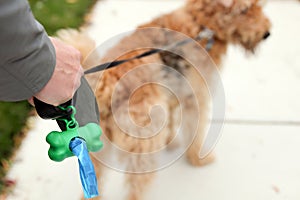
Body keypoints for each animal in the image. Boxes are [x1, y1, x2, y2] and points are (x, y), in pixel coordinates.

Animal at [55, 0, 270, 199]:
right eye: (244, 10)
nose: (267, 33)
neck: (201, 23)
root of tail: (104, 84)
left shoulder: (174, 94)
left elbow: (173, 121)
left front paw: (171, 143)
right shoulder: (195, 99)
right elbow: (195, 133)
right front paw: (198, 159)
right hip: (142, 150)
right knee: (135, 189)